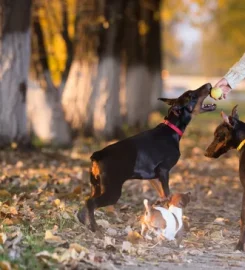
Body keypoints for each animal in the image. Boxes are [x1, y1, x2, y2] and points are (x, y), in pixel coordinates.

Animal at [78, 83, 216, 231]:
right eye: (192, 96)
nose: (209, 85)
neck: (171, 130)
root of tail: (97, 155)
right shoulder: (164, 170)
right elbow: (167, 193)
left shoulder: (154, 177)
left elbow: (164, 195)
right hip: (112, 190)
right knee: (91, 202)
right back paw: (94, 227)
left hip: (96, 185)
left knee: (86, 201)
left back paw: (83, 220)